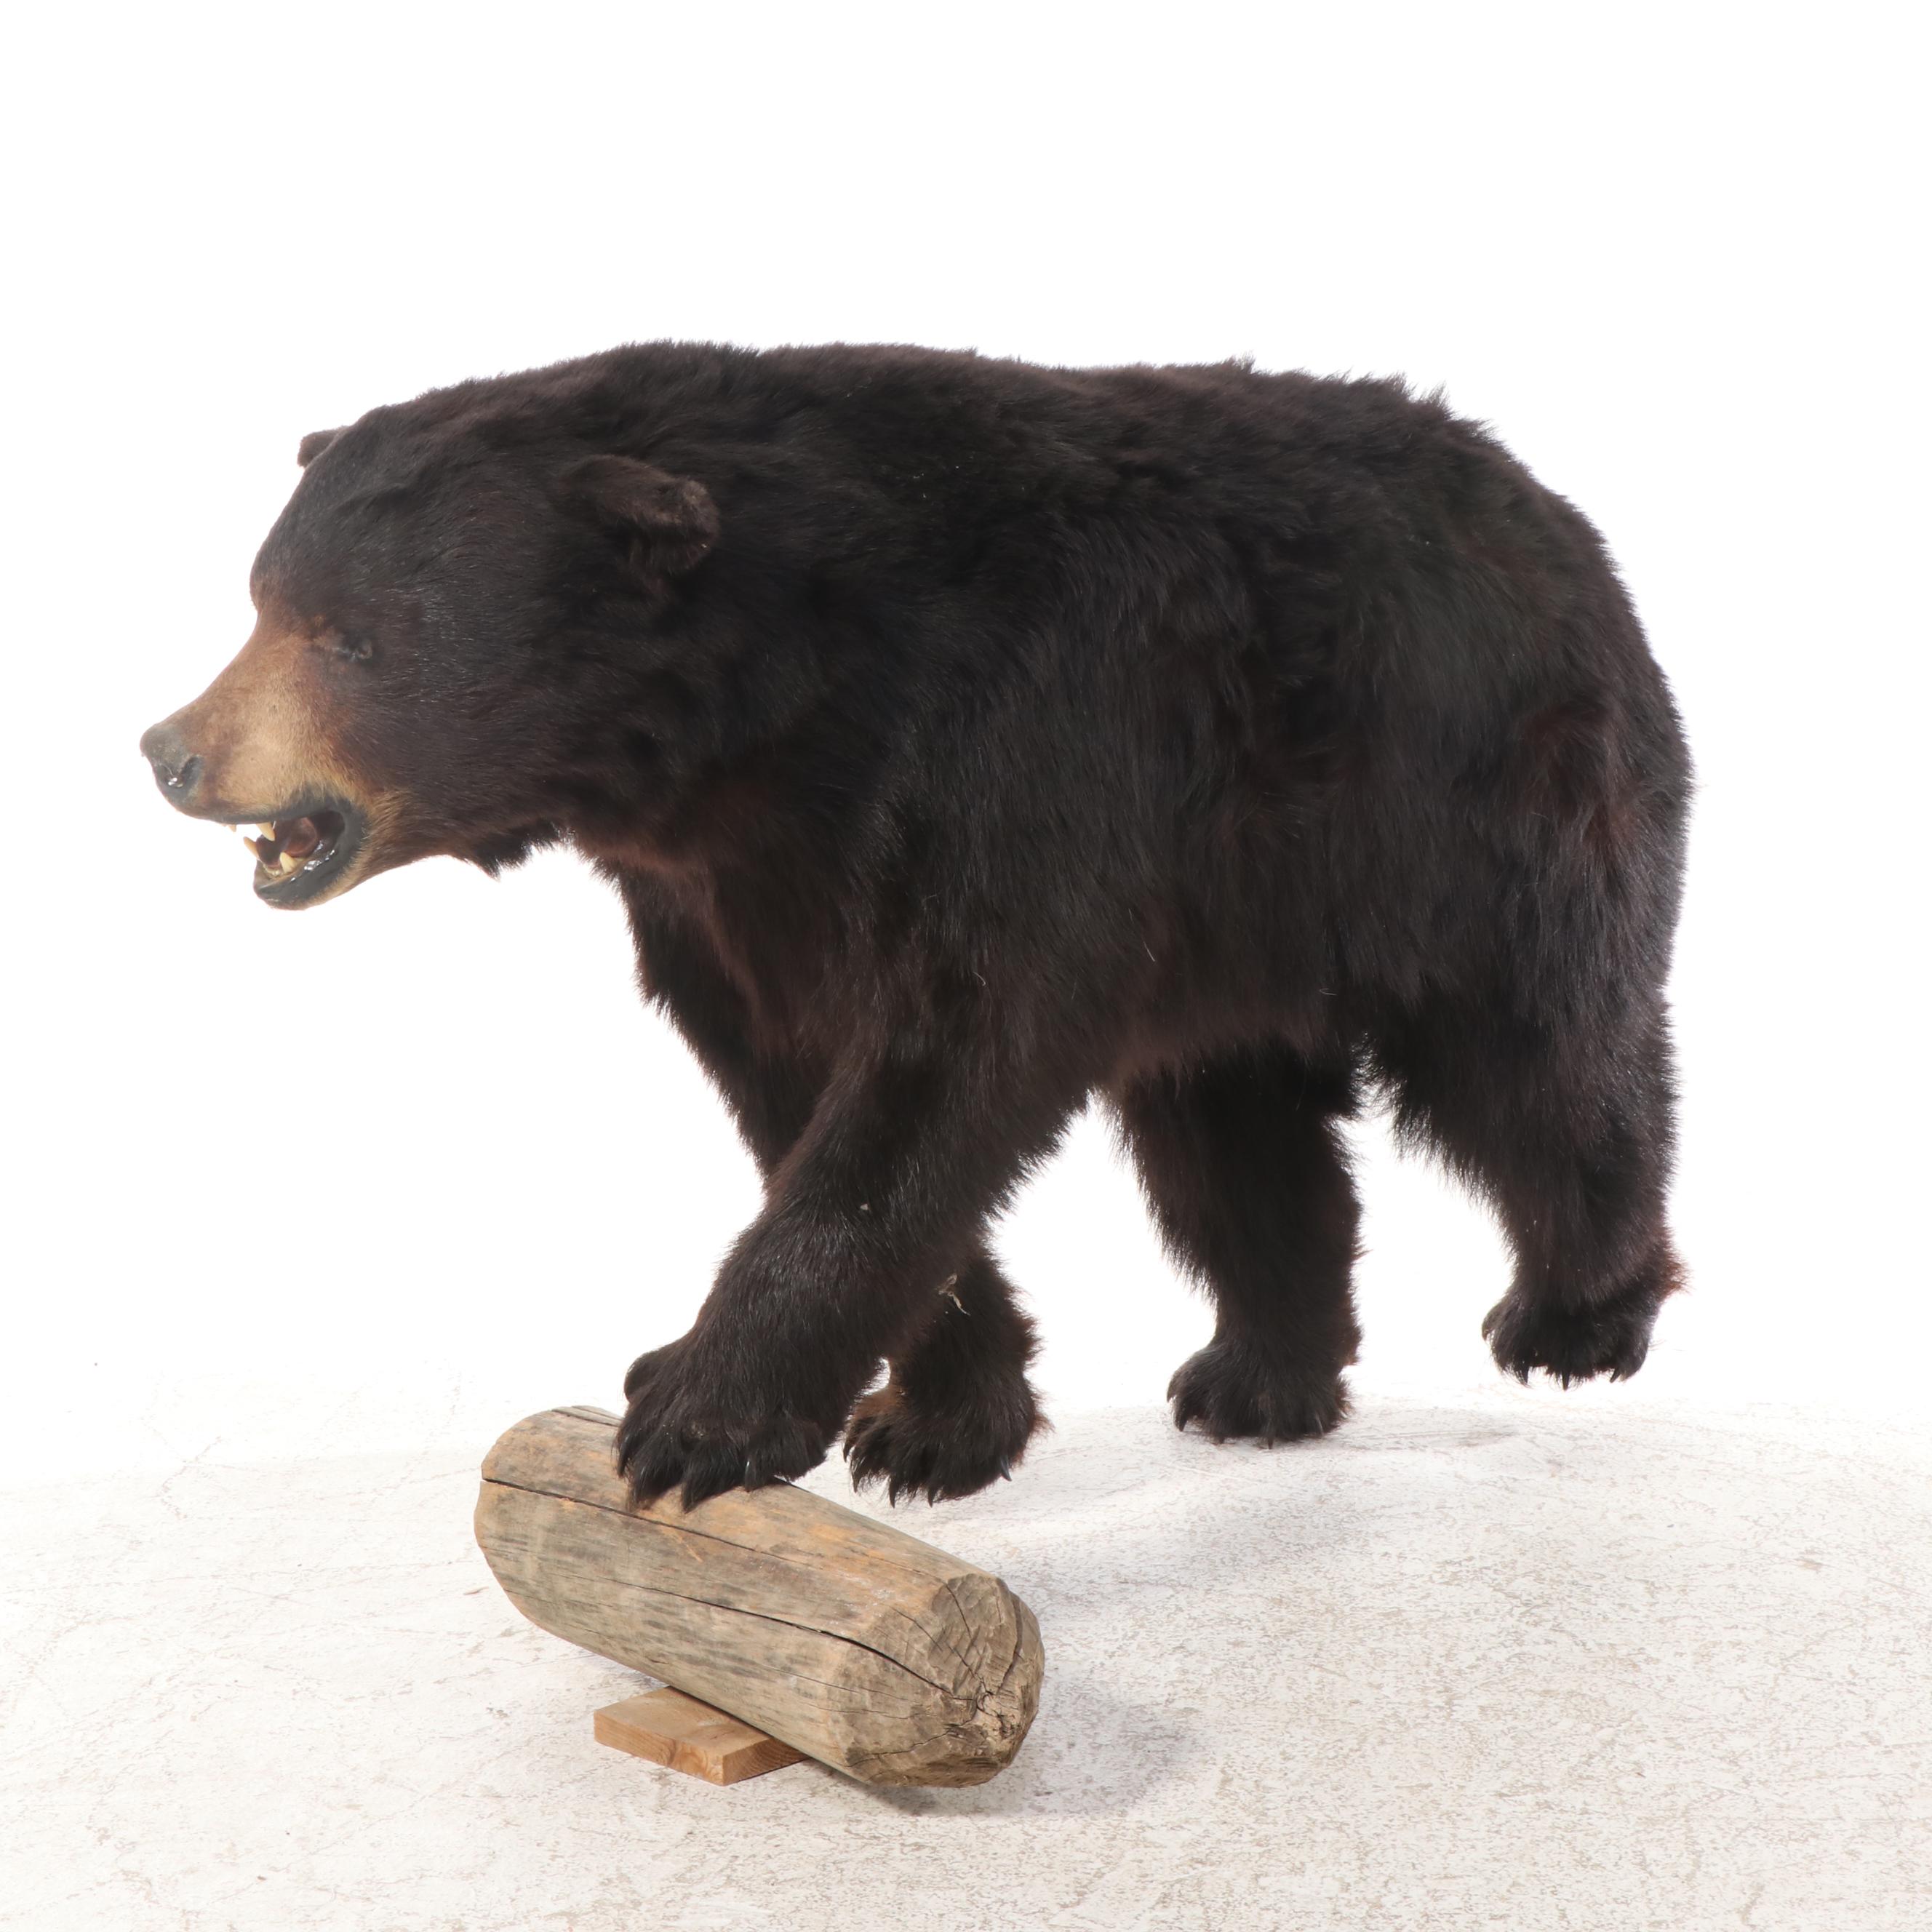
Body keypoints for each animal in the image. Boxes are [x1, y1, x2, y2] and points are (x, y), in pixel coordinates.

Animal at [140, 341, 1691, 1510]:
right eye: (262, 598)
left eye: (353, 635)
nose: (174, 751)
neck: (769, 716)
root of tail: (1557, 509)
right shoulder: (723, 891)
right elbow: (794, 1083)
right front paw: (933, 1419)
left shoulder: (1017, 756)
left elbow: (944, 1063)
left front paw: (692, 1414)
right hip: (1228, 929)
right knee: (1225, 1133)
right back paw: (1258, 1375)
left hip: (1473, 814)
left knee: (1538, 1062)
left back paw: (1577, 1313)